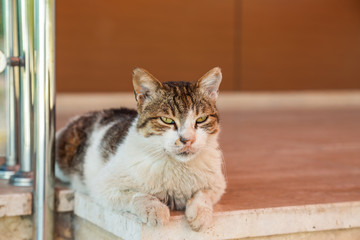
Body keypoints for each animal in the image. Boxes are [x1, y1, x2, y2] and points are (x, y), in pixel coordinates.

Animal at [55, 67, 225, 231]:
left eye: (201, 119)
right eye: (167, 120)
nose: (187, 140)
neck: (178, 166)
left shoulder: (218, 183)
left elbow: (204, 194)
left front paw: (201, 213)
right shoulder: (103, 186)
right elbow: (138, 195)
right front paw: (155, 209)